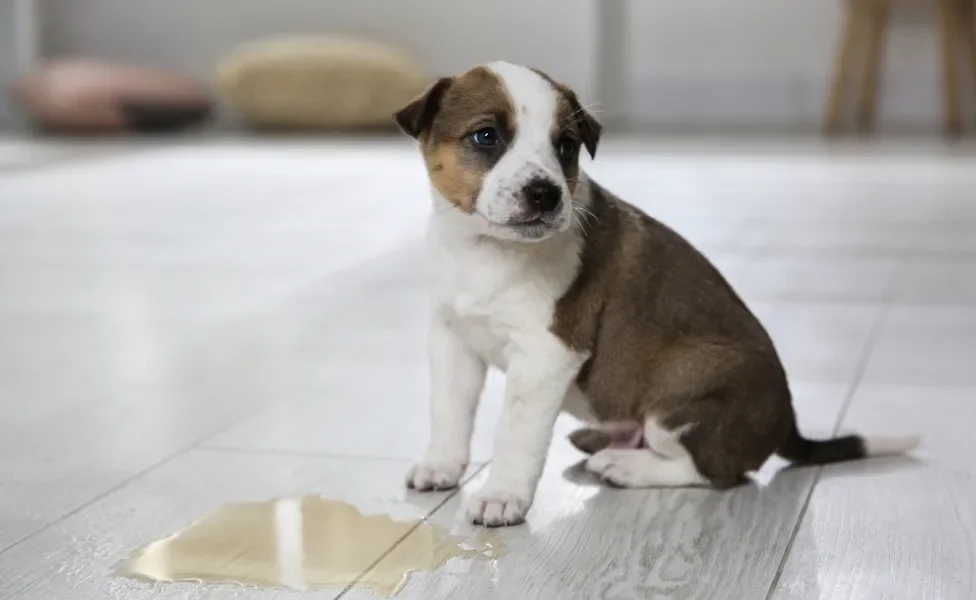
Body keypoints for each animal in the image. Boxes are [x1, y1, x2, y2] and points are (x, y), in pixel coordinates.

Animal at [392, 61, 920, 528]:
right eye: (486, 136)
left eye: (565, 146)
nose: (546, 193)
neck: (484, 249)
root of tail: (787, 423)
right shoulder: (452, 338)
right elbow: (449, 411)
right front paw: (442, 464)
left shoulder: (546, 356)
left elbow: (515, 435)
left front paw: (502, 496)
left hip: (683, 393)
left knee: (717, 472)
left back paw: (626, 467)